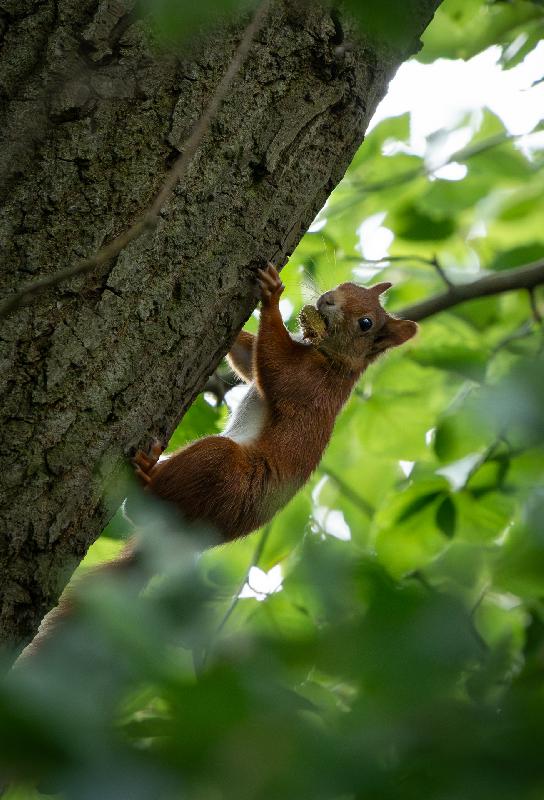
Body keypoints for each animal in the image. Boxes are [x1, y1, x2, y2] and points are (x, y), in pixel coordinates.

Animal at [17, 263, 416, 663]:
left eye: (366, 323)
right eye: (350, 285)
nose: (329, 299)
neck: (333, 358)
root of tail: (182, 537)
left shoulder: (310, 385)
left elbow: (274, 366)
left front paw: (272, 295)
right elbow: (248, 358)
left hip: (220, 466)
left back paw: (146, 476)